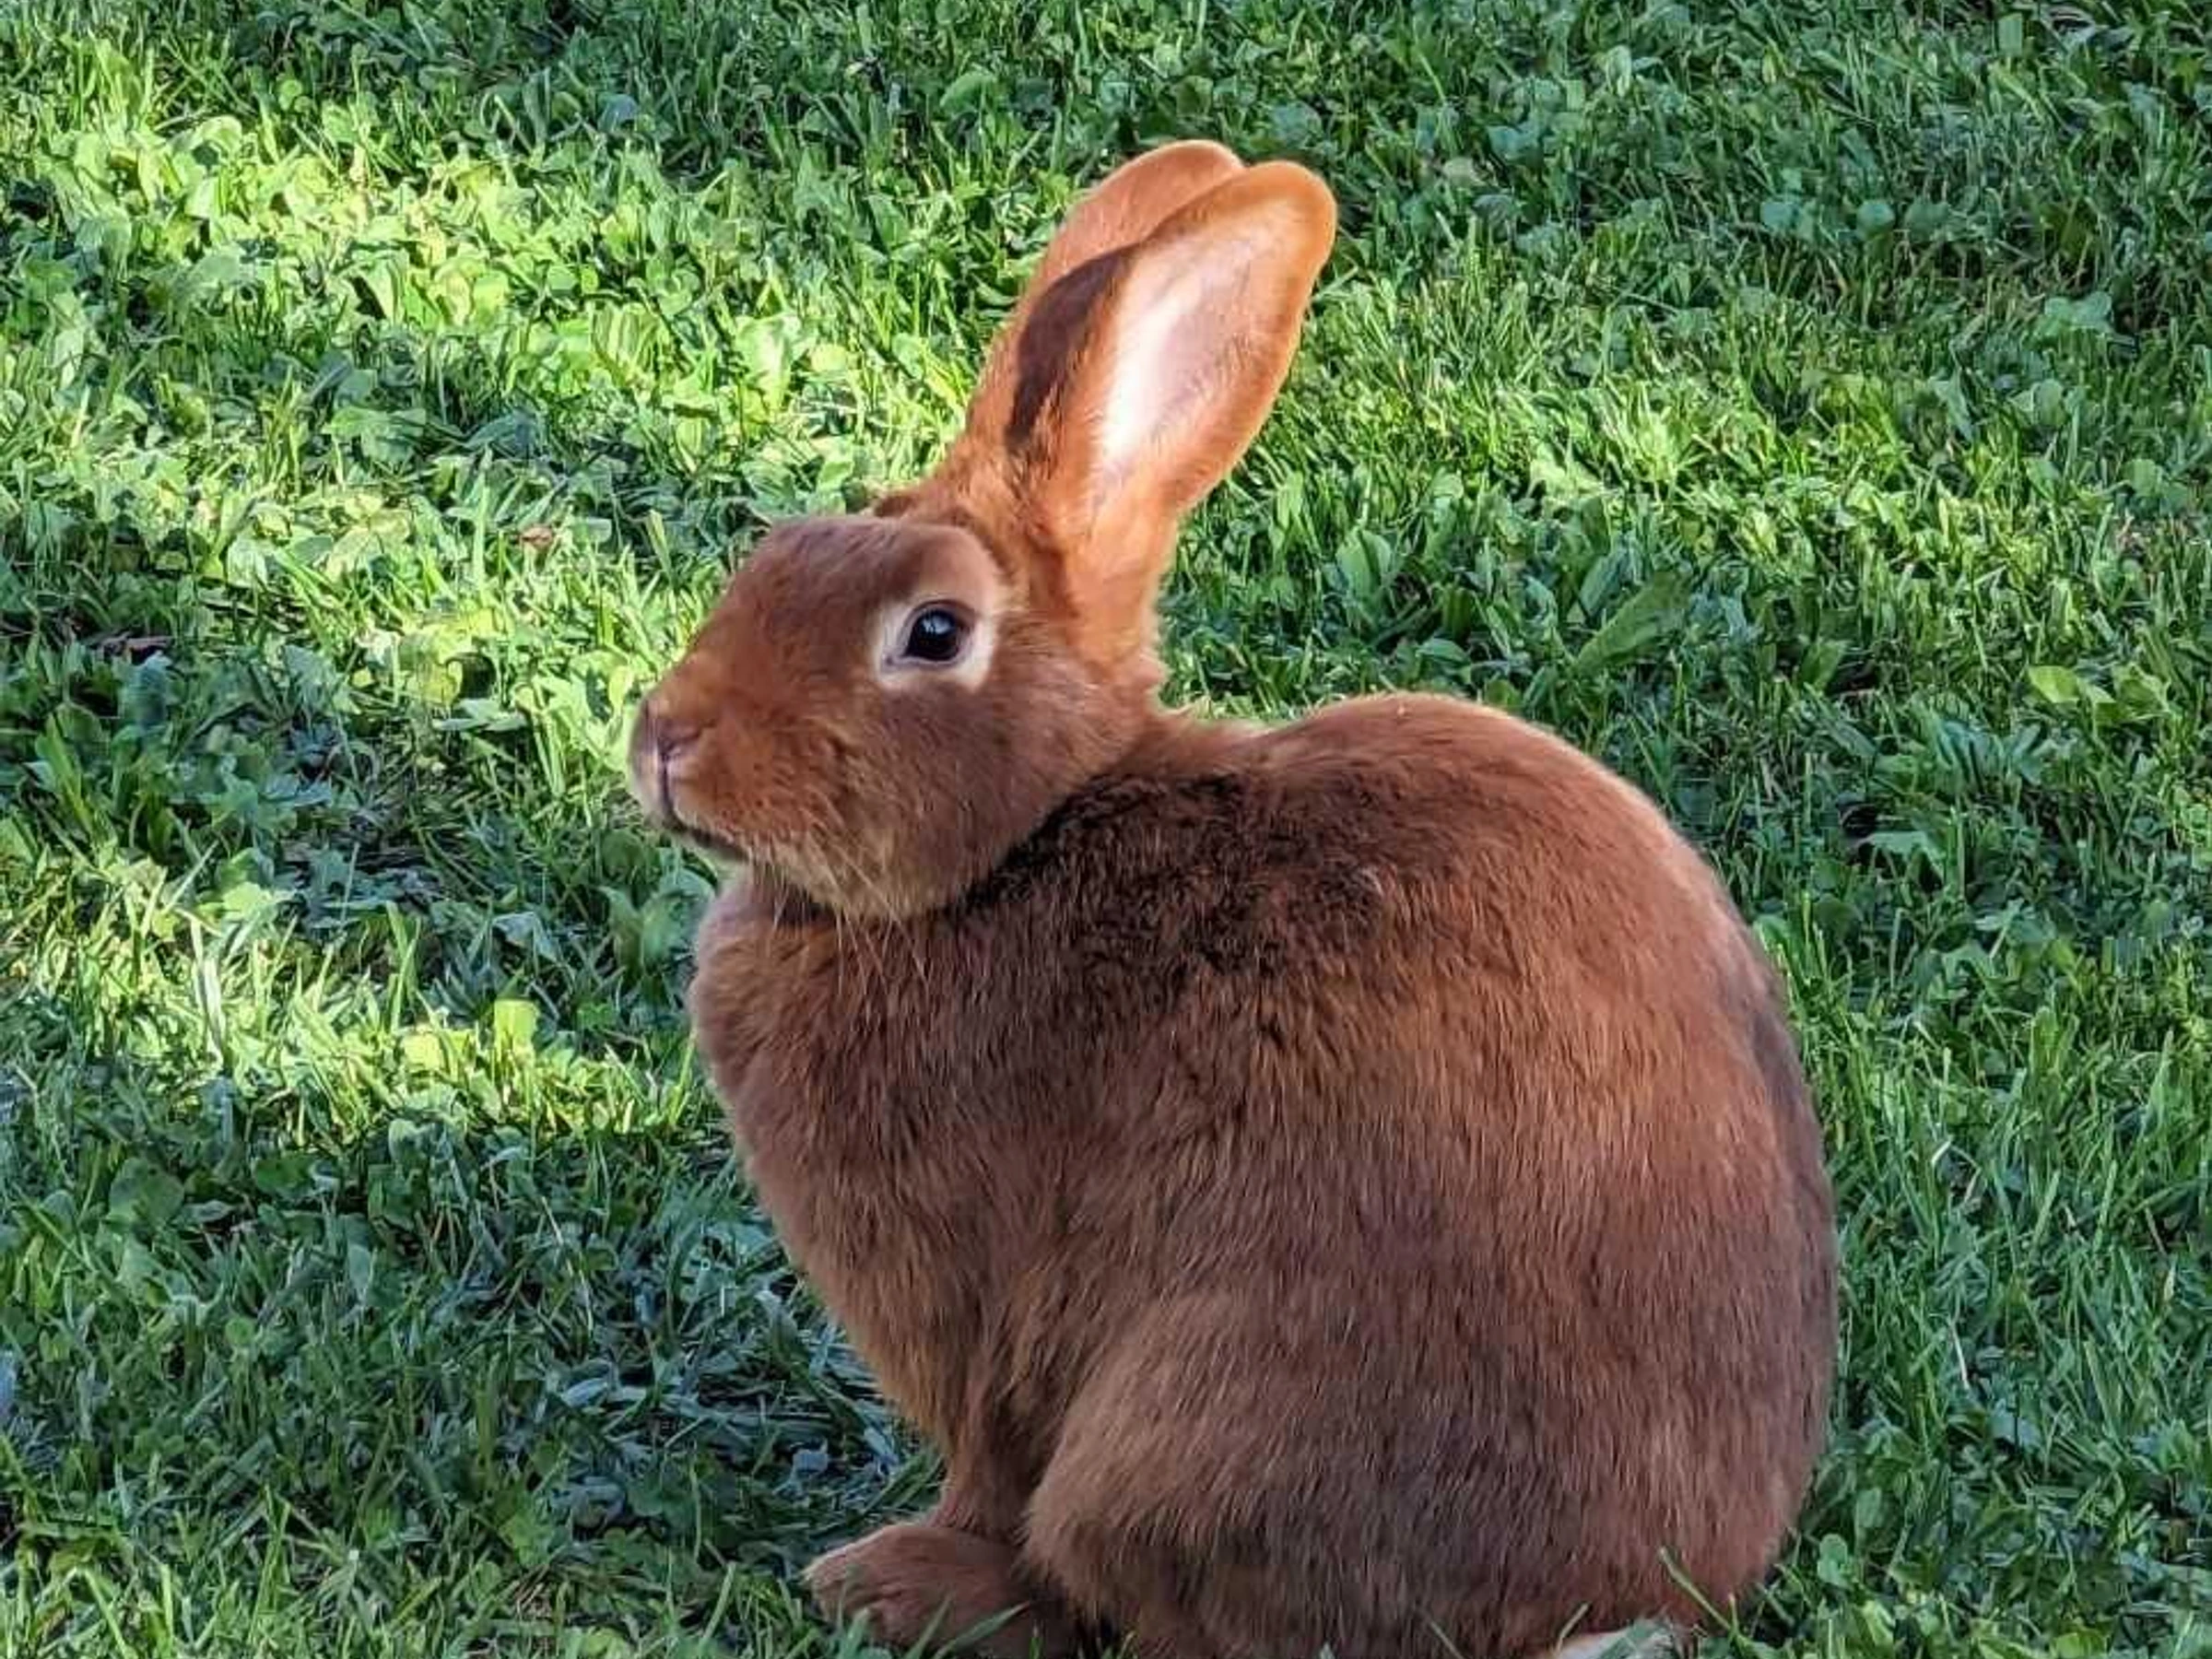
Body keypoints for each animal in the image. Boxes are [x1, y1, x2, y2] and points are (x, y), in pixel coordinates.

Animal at [628, 139, 1838, 1659]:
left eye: (934, 633)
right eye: (774, 552)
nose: (667, 738)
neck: (1018, 848)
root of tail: (1616, 1606)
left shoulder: (983, 1321)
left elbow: (990, 1470)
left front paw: (887, 1574)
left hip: (1186, 1433)